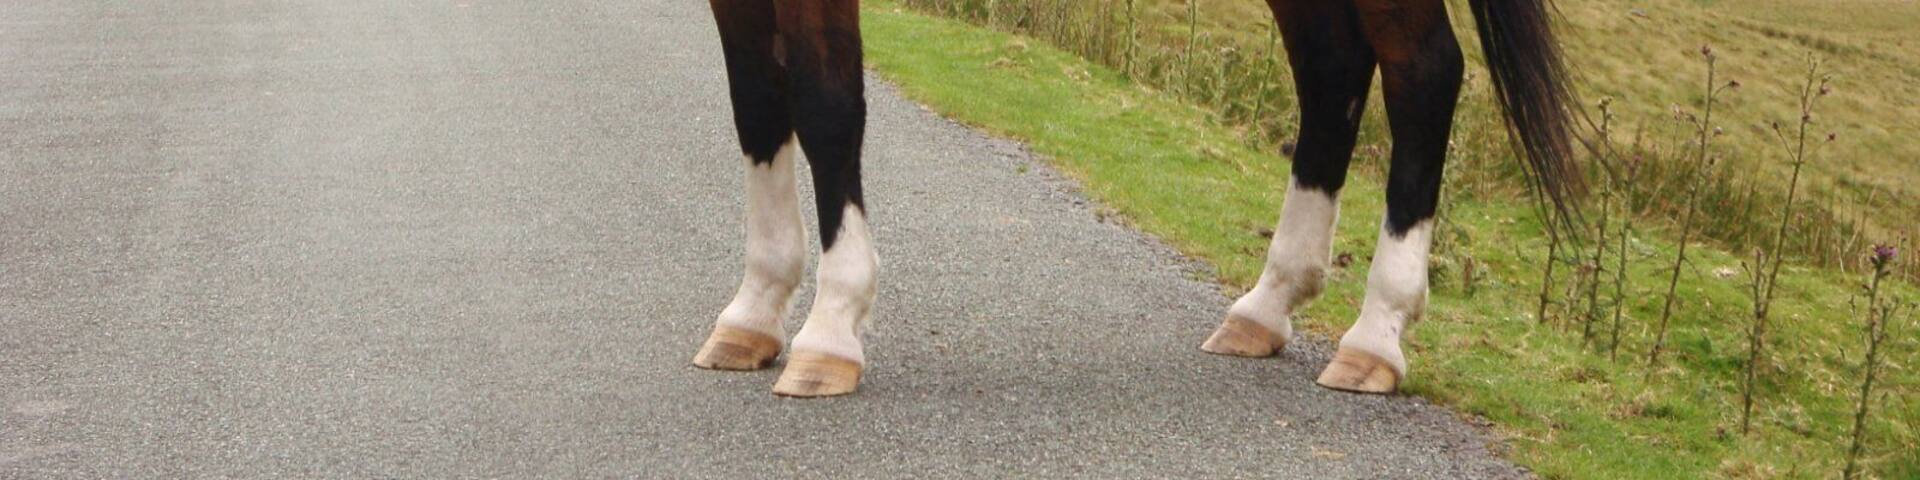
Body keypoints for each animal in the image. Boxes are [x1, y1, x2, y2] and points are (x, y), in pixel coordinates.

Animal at [692, 0, 1579, 398]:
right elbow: (758, 106)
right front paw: (756, 312)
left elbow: (828, 109)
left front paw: (831, 329)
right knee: (1333, 70)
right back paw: (1266, 306)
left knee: (1424, 72)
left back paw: (1376, 335)